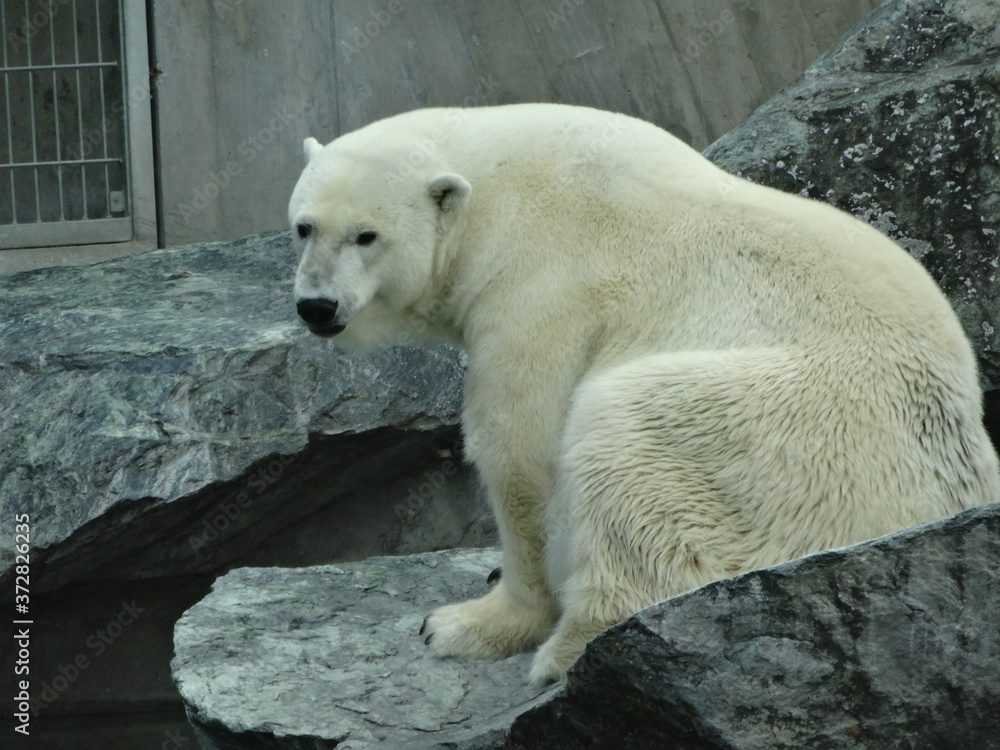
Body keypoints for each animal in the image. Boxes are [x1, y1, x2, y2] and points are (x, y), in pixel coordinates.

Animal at [288, 103, 1000, 684]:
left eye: (367, 235)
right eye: (303, 227)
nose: (316, 306)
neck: (501, 191)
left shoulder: (541, 288)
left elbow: (520, 452)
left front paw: (463, 624)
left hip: (796, 435)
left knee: (624, 433)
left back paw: (566, 649)